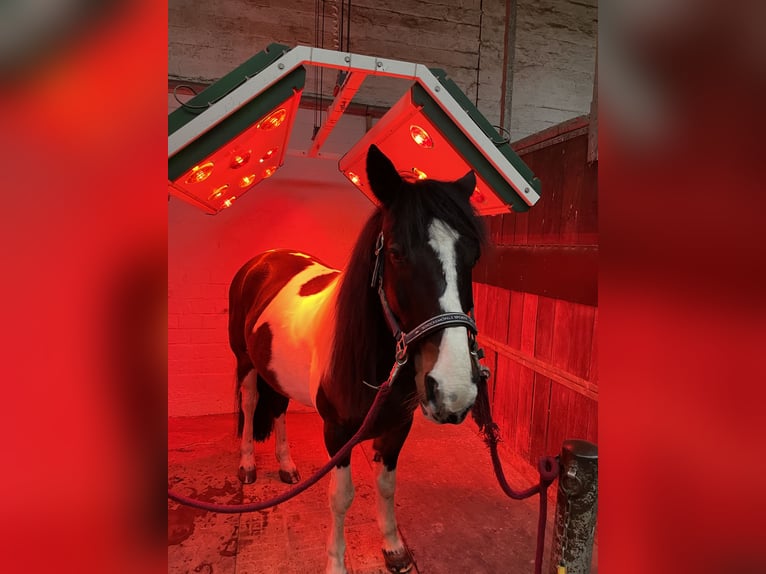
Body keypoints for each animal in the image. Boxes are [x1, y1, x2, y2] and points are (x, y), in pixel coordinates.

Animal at [227, 144, 487, 574]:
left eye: (473, 256)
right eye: (396, 253)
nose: (453, 390)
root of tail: (263, 261)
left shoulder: (397, 427)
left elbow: (386, 485)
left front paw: (394, 548)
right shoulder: (337, 434)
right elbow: (341, 497)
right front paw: (336, 562)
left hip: (276, 372)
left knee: (278, 408)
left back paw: (286, 466)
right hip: (245, 363)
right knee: (250, 405)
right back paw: (247, 466)